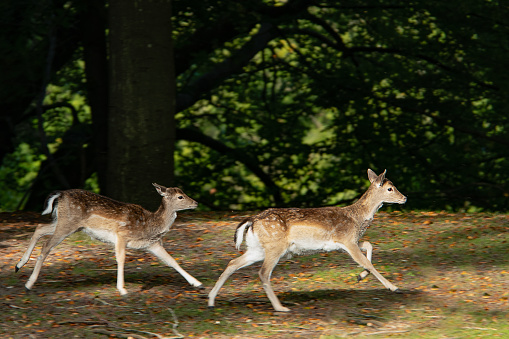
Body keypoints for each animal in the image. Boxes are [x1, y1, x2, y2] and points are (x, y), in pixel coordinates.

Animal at [15, 183, 202, 294]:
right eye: (180, 196)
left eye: (183, 192)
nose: (196, 202)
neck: (150, 224)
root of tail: (59, 195)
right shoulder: (121, 235)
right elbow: (121, 259)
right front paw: (122, 289)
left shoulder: (152, 244)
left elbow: (172, 261)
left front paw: (196, 283)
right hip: (67, 224)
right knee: (46, 245)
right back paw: (29, 283)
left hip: (66, 223)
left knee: (40, 228)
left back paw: (19, 265)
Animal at [206, 170, 404, 314]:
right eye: (390, 188)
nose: (404, 197)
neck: (357, 218)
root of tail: (252, 220)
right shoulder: (347, 240)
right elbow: (367, 262)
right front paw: (393, 287)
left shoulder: (346, 243)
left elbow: (369, 246)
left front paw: (360, 276)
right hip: (275, 246)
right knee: (263, 273)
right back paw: (280, 307)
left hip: (257, 249)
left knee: (233, 262)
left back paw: (211, 300)